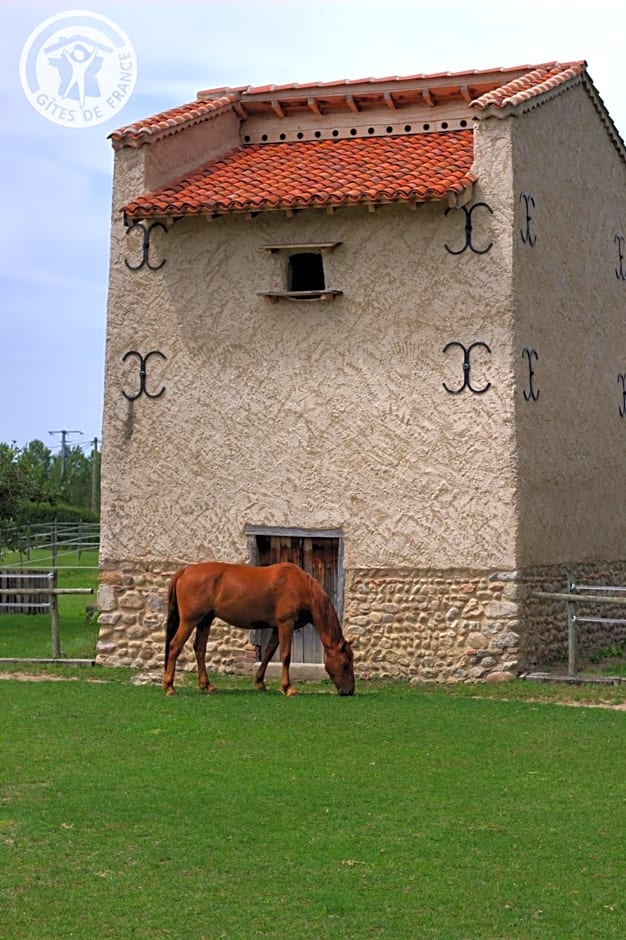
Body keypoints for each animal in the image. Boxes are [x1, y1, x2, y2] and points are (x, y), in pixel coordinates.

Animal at [163, 560, 354, 696]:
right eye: (345, 664)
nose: (350, 691)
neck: (300, 586)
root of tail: (185, 571)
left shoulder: (277, 628)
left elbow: (269, 653)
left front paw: (260, 682)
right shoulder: (286, 624)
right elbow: (285, 655)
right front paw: (288, 687)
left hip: (204, 620)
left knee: (200, 649)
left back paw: (206, 685)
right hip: (189, 621)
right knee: (174, 646)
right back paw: (170, 687)